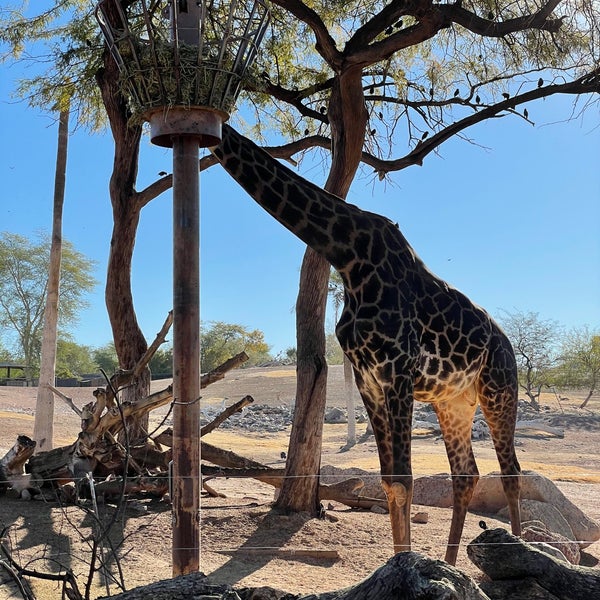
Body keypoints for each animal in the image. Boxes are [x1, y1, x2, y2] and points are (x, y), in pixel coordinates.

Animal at [212, 124, 520, 564]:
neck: (348, 254)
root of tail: (508, 345)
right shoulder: (368, 378)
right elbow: (390, 480)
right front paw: (402, 563)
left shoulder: (398, 370)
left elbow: (404, 479)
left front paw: (406, 564)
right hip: (453, 402)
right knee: (467, 473)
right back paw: (448, 563)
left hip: (498, 389)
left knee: (511, 470)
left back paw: (526, 546)